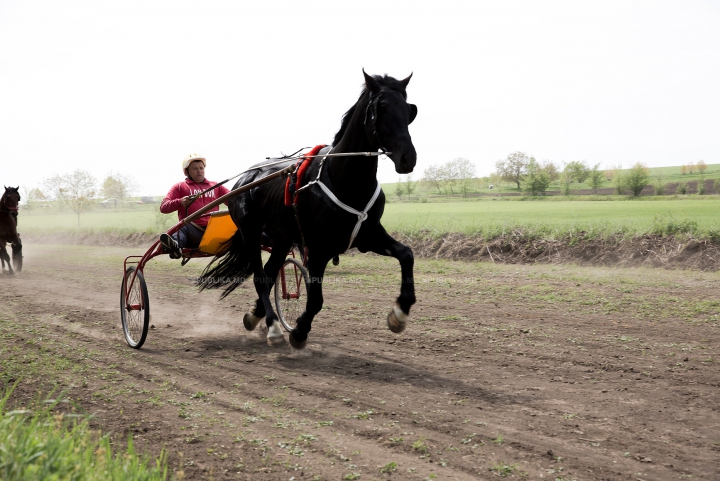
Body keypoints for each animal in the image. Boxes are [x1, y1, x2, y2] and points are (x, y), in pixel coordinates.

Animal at [200, 70, 420, 348]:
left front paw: (399, 314)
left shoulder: (368, 235)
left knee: (269, 274)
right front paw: (299, 331)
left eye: (409, 109)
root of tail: (246, 179)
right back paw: (273, 327)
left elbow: (406, 255)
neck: (344, 179)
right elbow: (315, 299)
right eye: (381, 108)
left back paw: (255, 315)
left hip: (281, 238)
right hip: (250, 232)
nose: (408, 157)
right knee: (260, 277)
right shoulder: (317, 247)